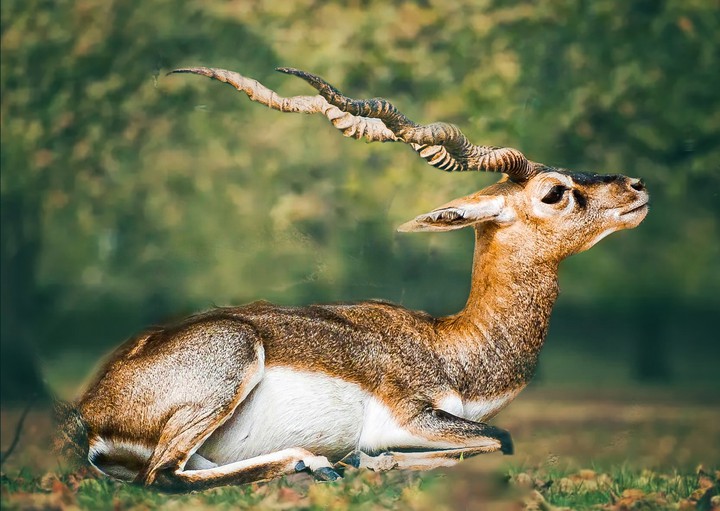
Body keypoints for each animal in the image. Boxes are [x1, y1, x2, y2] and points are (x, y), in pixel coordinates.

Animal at [57, 66, 649, 493]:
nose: (637, 186)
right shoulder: (411, 417)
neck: (453, 348)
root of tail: (90, 411)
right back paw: (322, 466)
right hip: (233, 359)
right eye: (554, 191)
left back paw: (320, 464)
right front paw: (377, 463)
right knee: (162, 477)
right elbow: (500, 440)